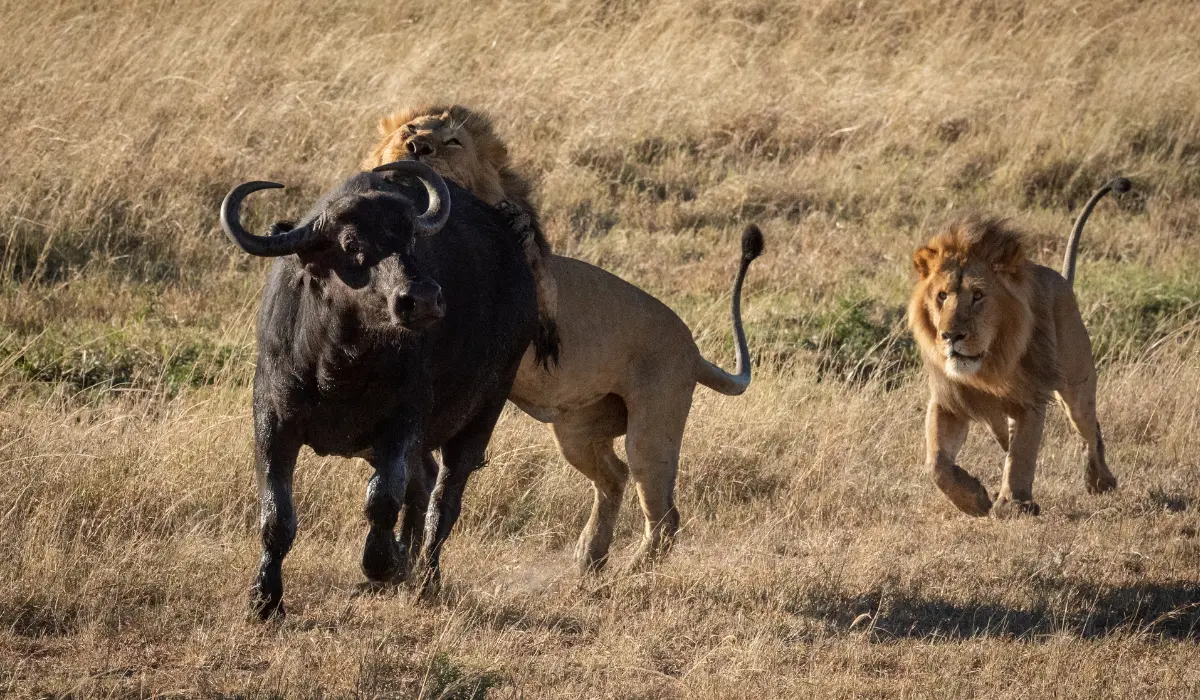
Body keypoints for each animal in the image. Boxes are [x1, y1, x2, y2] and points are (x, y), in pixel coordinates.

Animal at [220, 161, 537, 618]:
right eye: (351, 244)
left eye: (410, 239)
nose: (423, 300)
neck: (338, 365)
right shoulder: (272, 420)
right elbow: (276, 514)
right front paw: (265, 598)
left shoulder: (405, 420)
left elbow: (384, 497)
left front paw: (383, 562)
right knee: (423, 483)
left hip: (483, 414)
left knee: (443, 501)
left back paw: (425, 579)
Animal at [365, 105, 764, 577]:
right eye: (409, 130)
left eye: (453, 142)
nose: (417, 147)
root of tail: (694, 349)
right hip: (578, 429)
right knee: (614, 477)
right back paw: (590, 556)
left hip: (652, 428)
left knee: (664, 512)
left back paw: (630, 574)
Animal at [907, 178, 1129, 517]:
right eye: (942, 296)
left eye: (978, 296)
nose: (950, 335)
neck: (988, 365)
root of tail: (1061, 279)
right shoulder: (949, 399)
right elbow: (936, 464)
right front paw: (974, 499)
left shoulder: (1030, 397)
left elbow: (1022, 454)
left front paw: (1012, 503)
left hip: (1076, 385)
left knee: (1089, 429)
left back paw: (1099, 480)